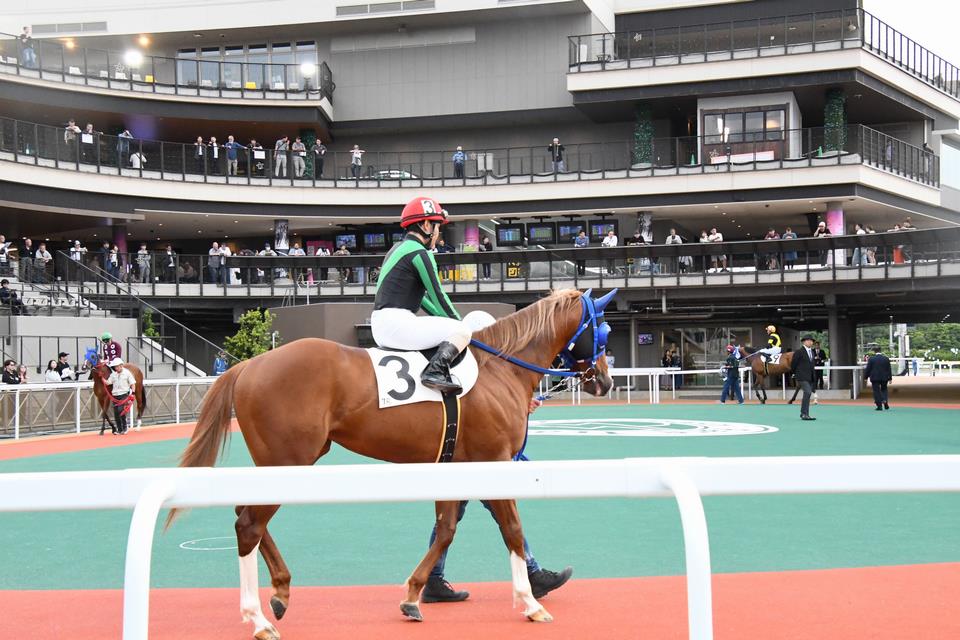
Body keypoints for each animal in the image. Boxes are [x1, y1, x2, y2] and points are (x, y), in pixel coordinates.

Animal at [166, 288, 615, 640]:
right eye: (604, 329)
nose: (606, 381)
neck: (499, 369)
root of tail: (249, 364)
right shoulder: (493, 461)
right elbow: (513, 530)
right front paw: (530, 602)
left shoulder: (454, 466)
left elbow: (446, 531)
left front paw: (416, 594)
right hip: (287, 460)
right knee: (249, 525)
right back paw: (258, 618)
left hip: (282, 463)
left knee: (248, 518)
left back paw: (280, 593)